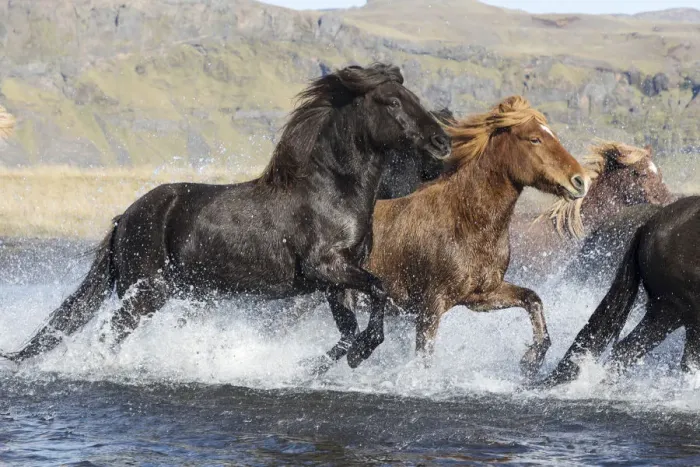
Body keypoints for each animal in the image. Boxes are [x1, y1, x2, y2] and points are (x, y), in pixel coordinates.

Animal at [0, 63, 452, 370]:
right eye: (392, 102)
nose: (442, 142)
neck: (330, 192)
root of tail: (123, 219)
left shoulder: (335, 283)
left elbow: (350, 329)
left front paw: (314, 366)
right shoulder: (327, 268)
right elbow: (379, 291)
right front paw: (359, 353)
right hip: (146, 293)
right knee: (111, 334)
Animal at [365, 96, 589, 377]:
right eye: (534, 139)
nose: (580, 181)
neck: (465, 223)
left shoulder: (482, 296)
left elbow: (533, 299)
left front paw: (530, 361)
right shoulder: (431, 304)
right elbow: (425, 356)